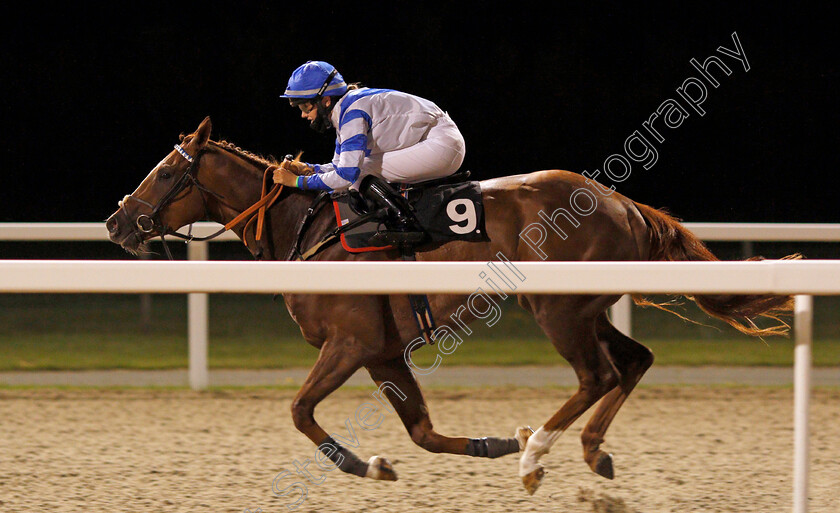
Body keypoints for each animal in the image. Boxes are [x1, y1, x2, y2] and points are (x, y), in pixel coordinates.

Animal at [106, 118, 796, 494]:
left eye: (165, 173)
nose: (116, 222)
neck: (311, 228)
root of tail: (623, 203)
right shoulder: (383, 353)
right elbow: (425, 434)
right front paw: (485, 444)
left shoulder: (351, 343)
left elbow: (300, 411)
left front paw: (362, 463)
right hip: (587, 309)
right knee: (634, 361)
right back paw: (589, 450)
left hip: (557, 309)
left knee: (597, 373)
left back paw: (536, 457)